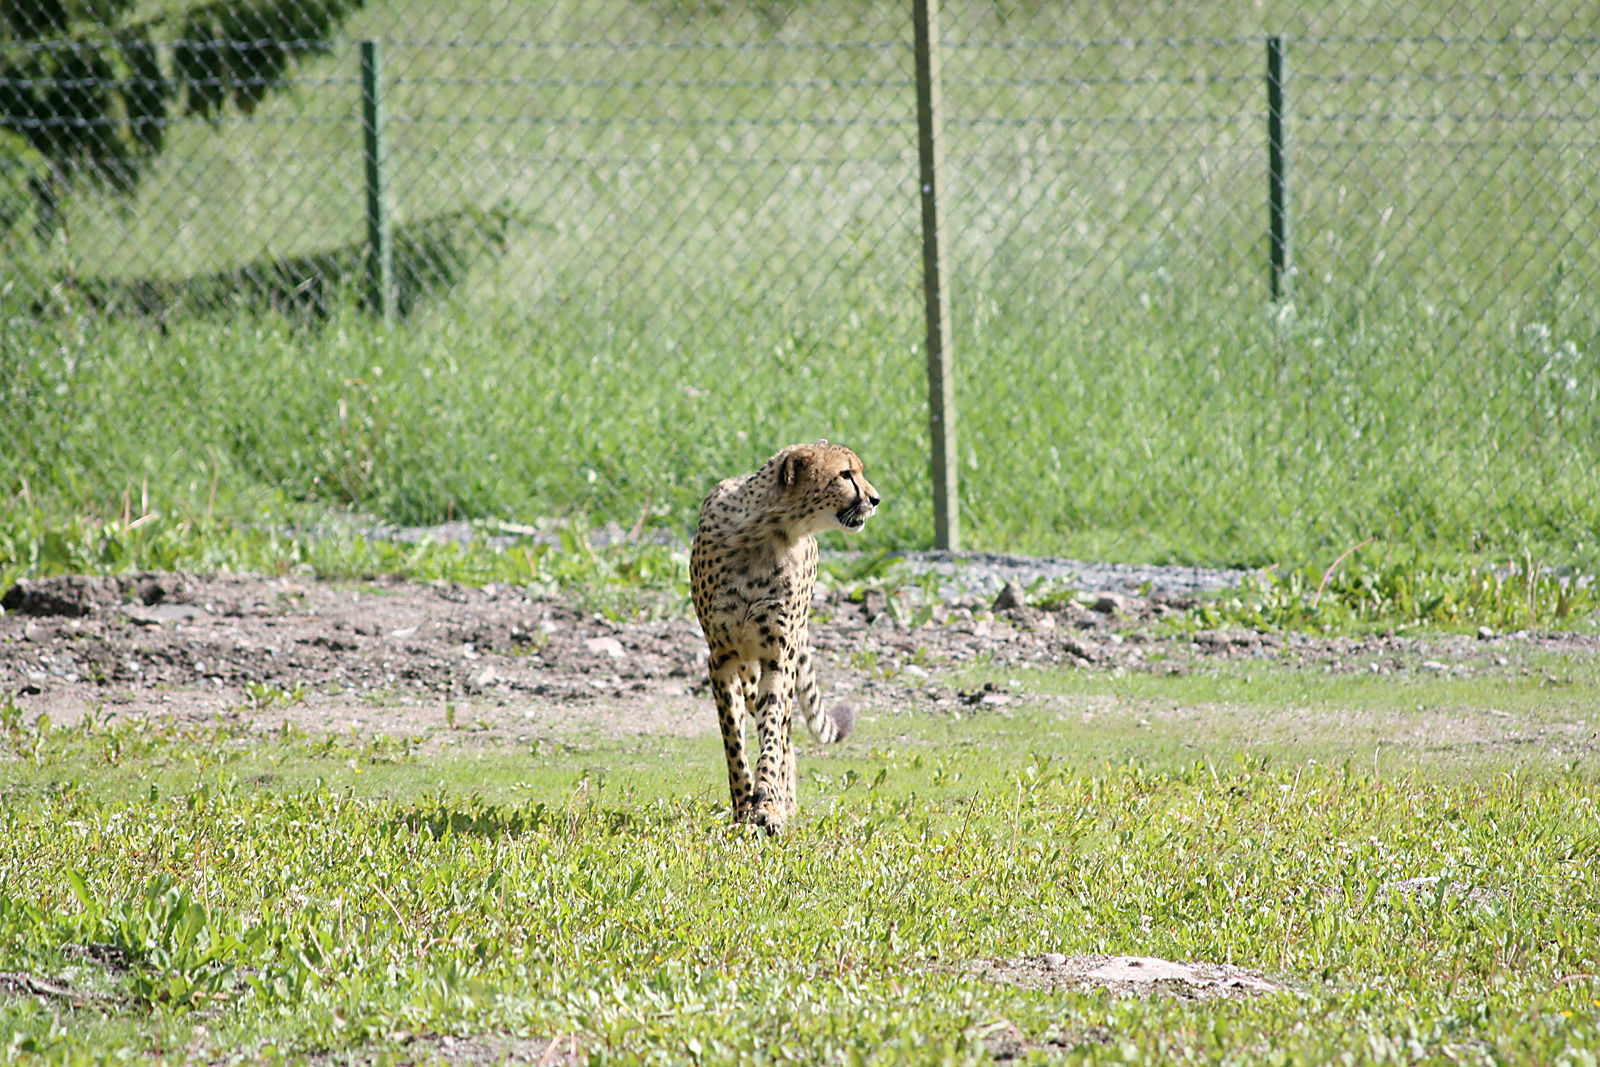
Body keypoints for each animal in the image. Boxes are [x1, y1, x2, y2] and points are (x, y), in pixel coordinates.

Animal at [689, 440, 881, 833]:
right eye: (845, 474)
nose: (876, 498)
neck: (767, 534)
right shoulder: (721, 658)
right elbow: (733, 741)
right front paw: (742, 806)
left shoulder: (778, 658)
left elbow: (773, 734)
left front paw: (769, 803)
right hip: (747, 671)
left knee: (785, 730)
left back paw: (784, 801)